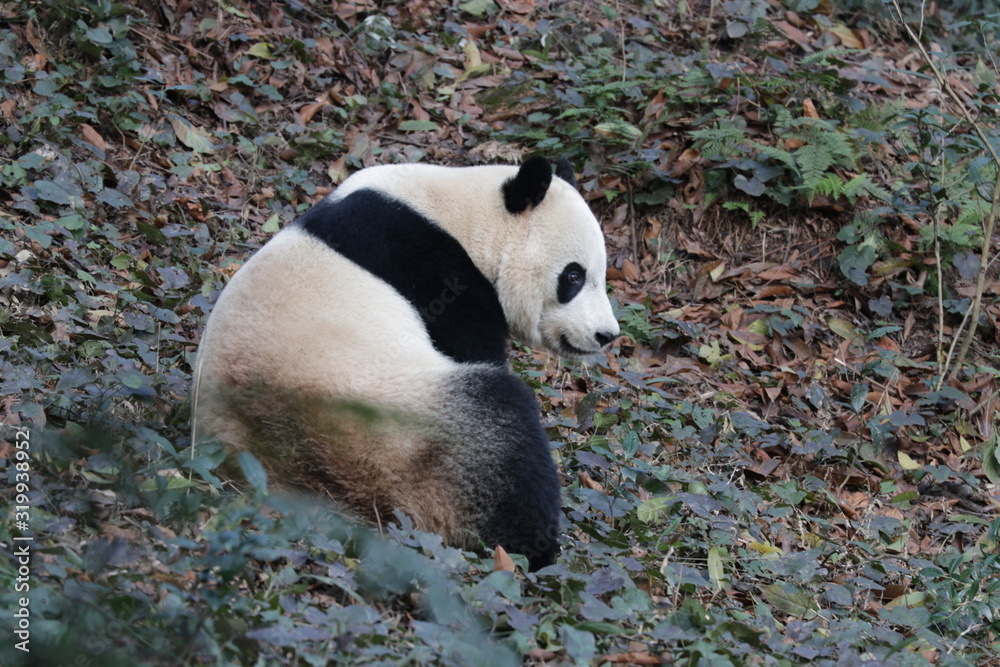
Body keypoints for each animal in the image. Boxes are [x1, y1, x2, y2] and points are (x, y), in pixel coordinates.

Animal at [193, 157, 620, 570]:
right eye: (573, 276)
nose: (606, 335)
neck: (465, 217)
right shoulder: (436, 273)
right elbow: (472, 349)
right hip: (394, 435)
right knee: (502, 430)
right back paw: (534, 548)